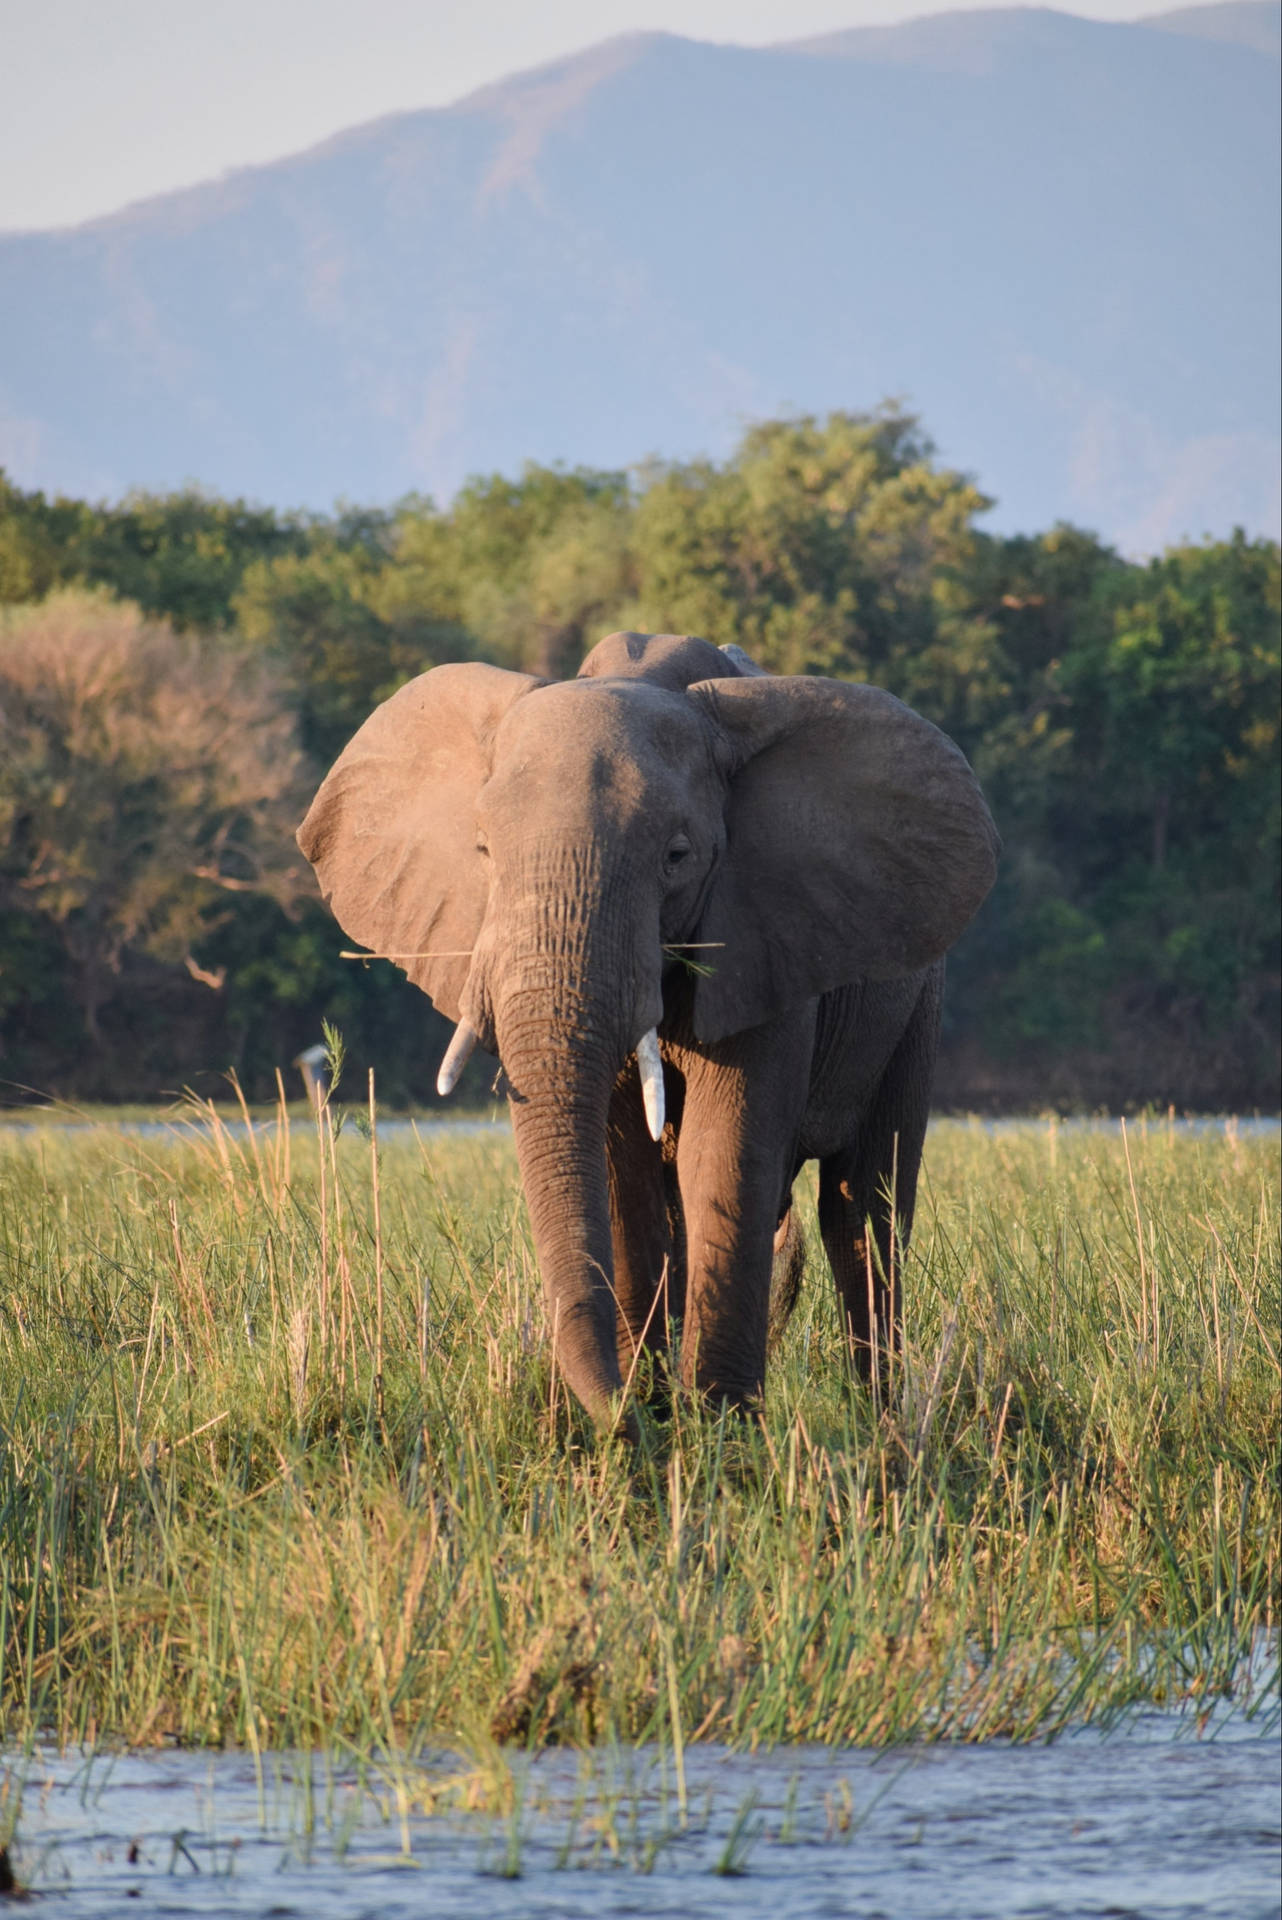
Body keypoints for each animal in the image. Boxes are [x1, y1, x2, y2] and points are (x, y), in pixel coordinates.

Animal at [297, 631, 999, 1434]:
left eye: (676, 857)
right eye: (482, 852)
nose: (619, 1418)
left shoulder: (762, 932)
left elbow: (722, 1153)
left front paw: (722, 1430)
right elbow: (622, 1170)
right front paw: (656, 1415)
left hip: (918, 998)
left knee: (865, 1209)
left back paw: (880, 1423)